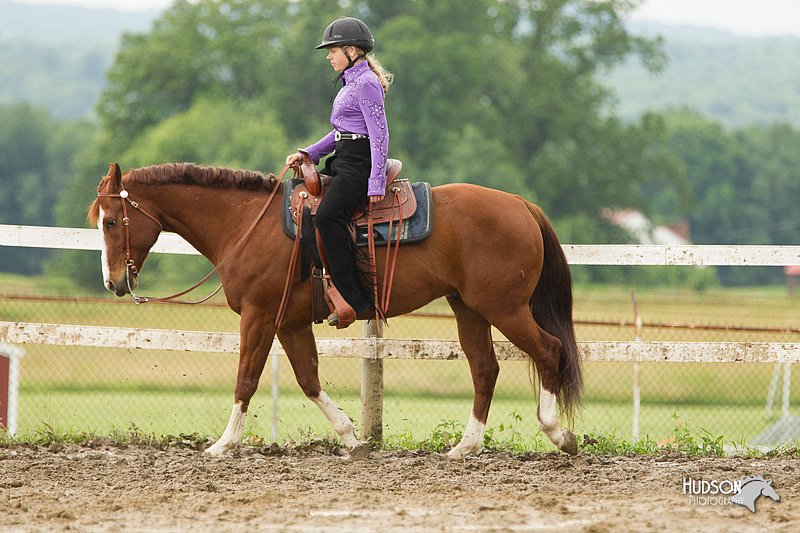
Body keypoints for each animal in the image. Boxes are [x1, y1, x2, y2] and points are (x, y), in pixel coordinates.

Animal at [89, 160, 580, 456]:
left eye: (111, 221)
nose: (114, 283)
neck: (246, 224)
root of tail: (521, 205)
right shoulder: (288, 322)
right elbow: (309, 380)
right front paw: (351, 437)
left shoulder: (259, 315)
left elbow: (246, 378)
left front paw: (223, 444)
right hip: (469, 309)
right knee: (485, 369)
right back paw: (466, 447)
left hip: (506, 308)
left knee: (549, 351)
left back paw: (558, 434)